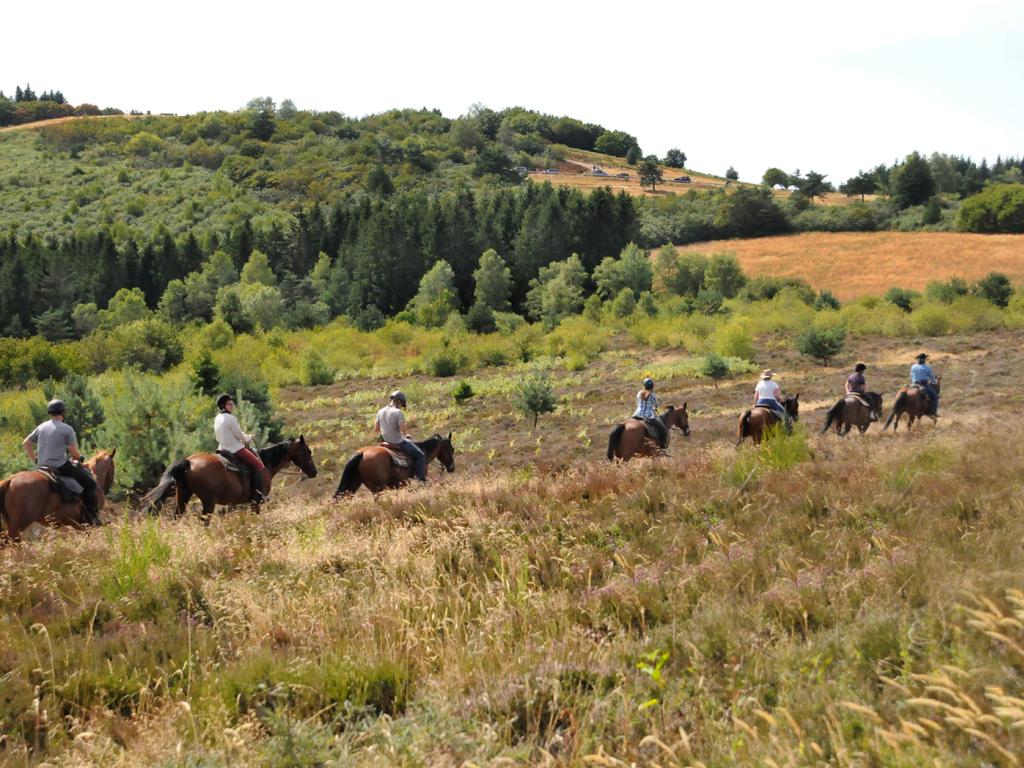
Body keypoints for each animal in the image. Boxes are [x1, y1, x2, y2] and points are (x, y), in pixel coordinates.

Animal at [141, 436, 315, 520]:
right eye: (308, 451)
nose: (314, 472)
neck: (266, 463)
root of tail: (189, 462)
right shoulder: (256, 502)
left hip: (183, 495)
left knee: (178, 516)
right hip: (208, 502)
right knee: (204, 520)